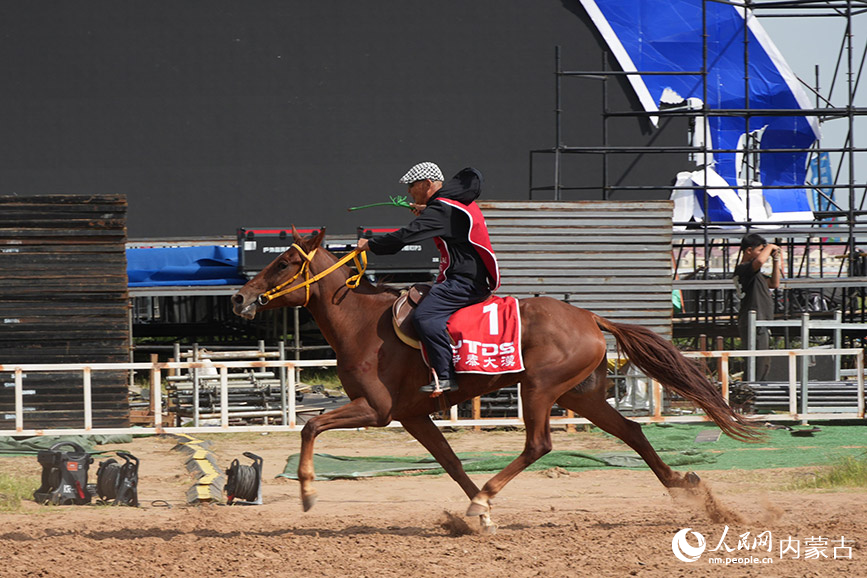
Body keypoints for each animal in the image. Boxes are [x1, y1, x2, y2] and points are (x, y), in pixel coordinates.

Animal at [232, 228, 758, 532]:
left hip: (540, 389)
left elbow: (309, 425)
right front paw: (478, 515)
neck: (362, 323)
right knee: (631, 431)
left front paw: (307, 491)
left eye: (283, 263)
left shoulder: (376, 411)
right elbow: (449, 462)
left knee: (540, 444)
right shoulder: (413, 416)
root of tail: (591, 317)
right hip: (581, 396)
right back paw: (684, 486)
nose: (239, 297)